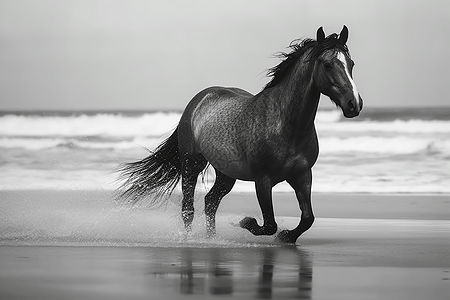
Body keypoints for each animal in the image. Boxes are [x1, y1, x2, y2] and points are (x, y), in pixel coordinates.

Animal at [118, 24, 364, 243]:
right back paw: (190, 240)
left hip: (226, 173)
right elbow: (269, 224)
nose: (354, 104)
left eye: (351, 63)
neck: (285, 124)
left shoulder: (303, 176)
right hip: (192, 164)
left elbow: (307, 218)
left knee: (211, 202)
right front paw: (247, 222)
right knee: (188, 207)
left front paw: (287, 236)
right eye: (327, 64)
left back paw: (212, 239)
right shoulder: (263, 180)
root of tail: (198, 100)